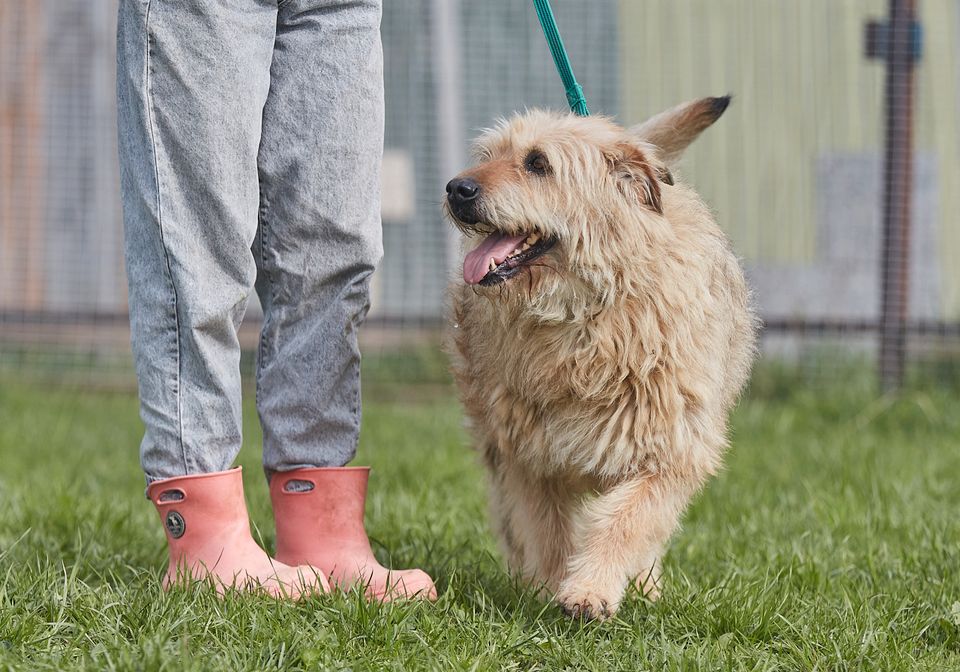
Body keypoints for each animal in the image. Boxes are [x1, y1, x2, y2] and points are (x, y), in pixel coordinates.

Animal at [444, 97, 756, 624]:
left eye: (538, 164)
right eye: (487, 155)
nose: (456, 188)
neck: (583, 313)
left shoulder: (669, 450)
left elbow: (626, 523)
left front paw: (590, 590)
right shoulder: (531, 458)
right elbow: (549, 533)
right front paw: (549, 592)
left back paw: (645, 589)